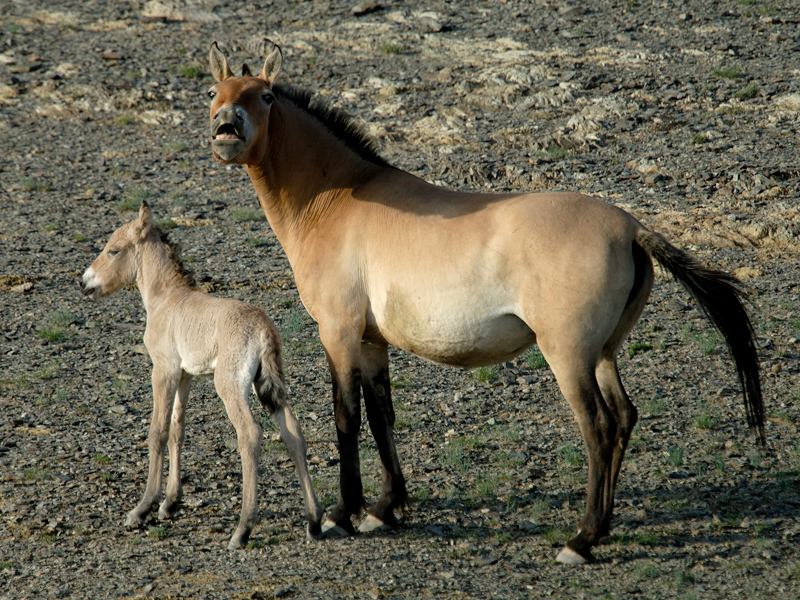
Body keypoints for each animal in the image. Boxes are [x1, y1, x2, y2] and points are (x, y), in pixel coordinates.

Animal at [80, 201, 323, 549]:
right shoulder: (185, 375)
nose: (84, 282)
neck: (165, 298)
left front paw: (142, 509)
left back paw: (242, 530)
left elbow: (158, 432)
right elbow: (177, 430)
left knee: (250, 434)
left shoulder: (164, 369)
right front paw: (170, 503)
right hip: (269, 386)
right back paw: (314, 521)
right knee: (293, 434)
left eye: (114, 250)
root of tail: (263, 328)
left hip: (230, 385)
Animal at [204, 42, 764, 564]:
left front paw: (343, 514)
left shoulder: (338, 332)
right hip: (603, 353)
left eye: (265, 96)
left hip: (568, 355)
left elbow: (347, 416)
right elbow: (382, 414)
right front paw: (386, 509)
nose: (226, 128)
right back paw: (600, 528)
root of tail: (631, 228)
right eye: (215, 92)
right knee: (624, 418)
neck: (338, 199)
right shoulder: (371, 341)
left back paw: (581, 539)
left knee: (600, 428)